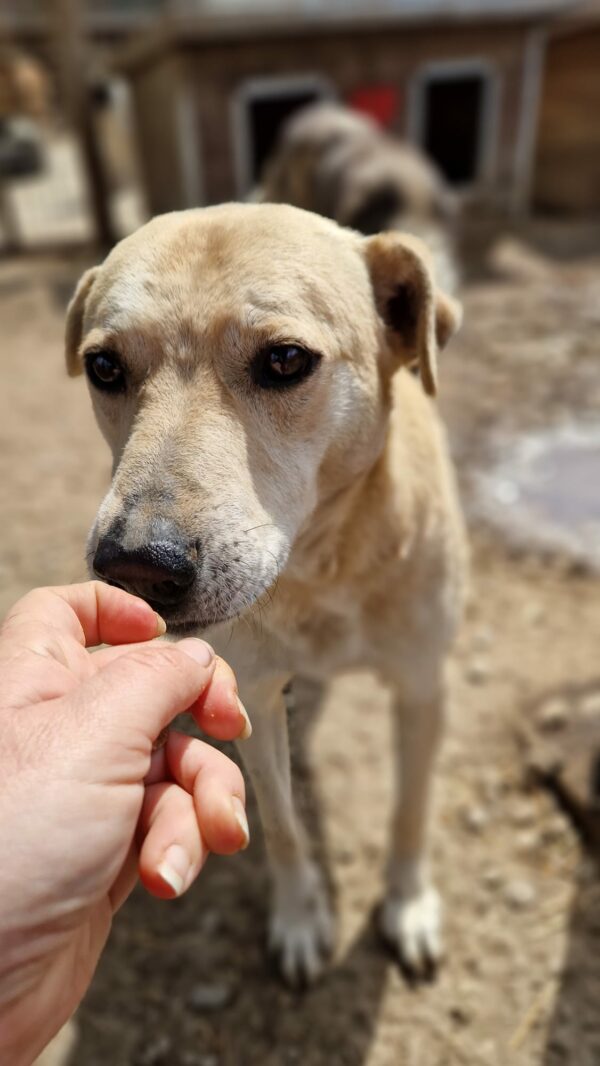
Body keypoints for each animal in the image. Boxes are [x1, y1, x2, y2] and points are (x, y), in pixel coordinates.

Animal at [66, 203, 468, 984]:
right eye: (104, 367)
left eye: (284, 360)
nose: (137, 568)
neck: (320, 572)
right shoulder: (250, 693)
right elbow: (281, 825)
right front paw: (300, 917)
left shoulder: (423, 687)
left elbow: (410, 811)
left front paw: (408, 905)